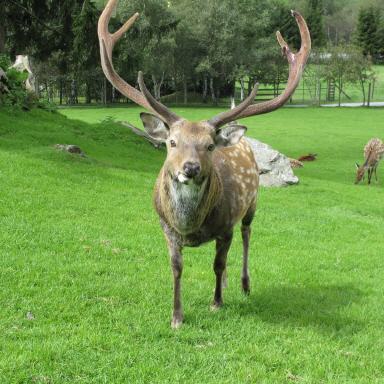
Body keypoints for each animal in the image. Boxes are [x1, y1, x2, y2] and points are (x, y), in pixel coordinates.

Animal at [97, 0, 310, 330]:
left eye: (209, 146)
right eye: (171, 142)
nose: (190, 168)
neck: (189, 226)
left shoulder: (226, 226)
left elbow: (218, 263)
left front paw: (216, 302)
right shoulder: (165, 228)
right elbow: (176, 268)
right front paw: (176, 316)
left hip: (252, 202)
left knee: (247, 236)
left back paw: (244, 284)